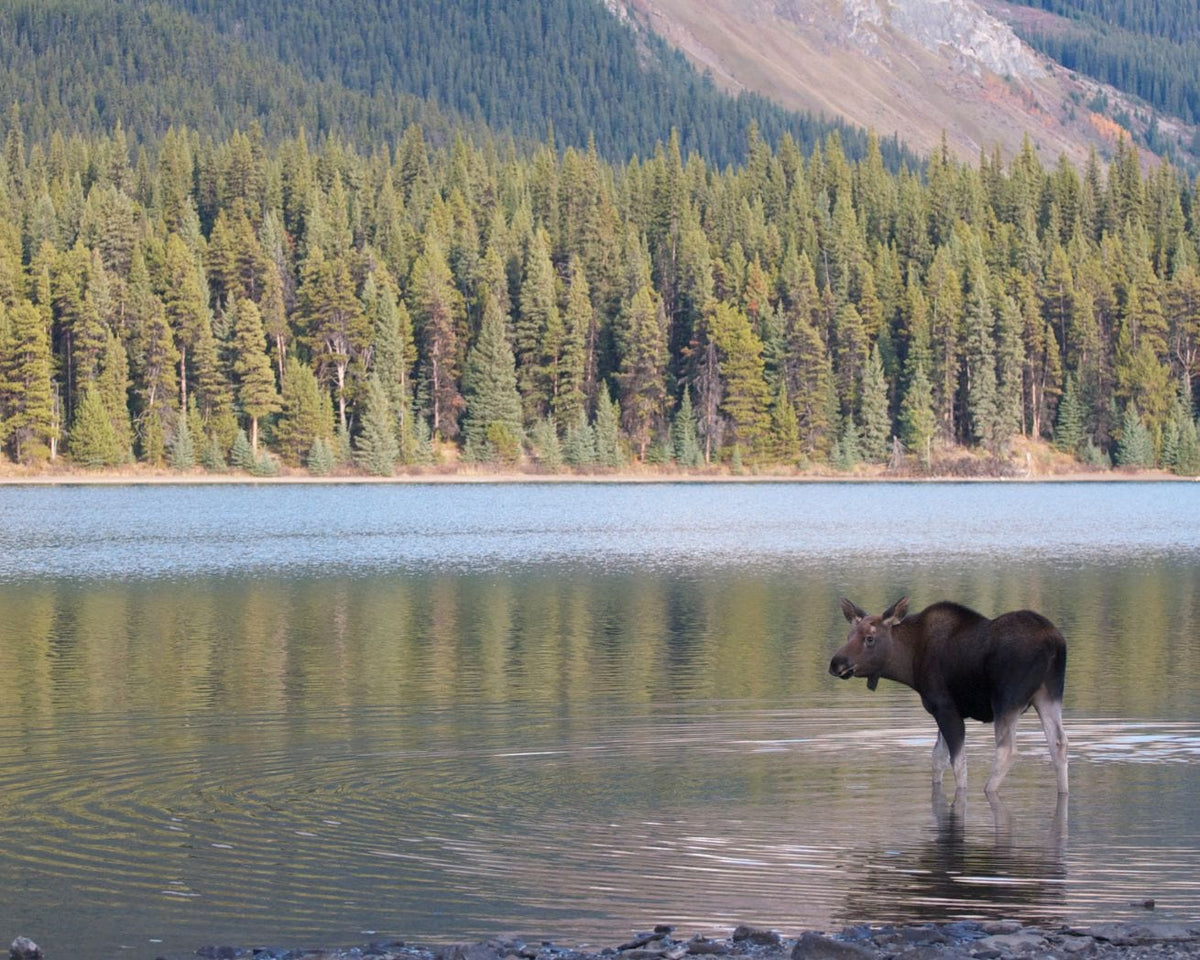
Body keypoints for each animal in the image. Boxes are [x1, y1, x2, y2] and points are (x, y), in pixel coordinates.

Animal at [829, 597, 1068, 796]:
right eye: (848, 636)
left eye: (869, 638)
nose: (835, 664)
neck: (909, 664)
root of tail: (1054, 644)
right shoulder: (944, 711)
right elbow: (938, 758)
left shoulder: (944, 707)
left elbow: (958, 763)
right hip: (1049, 695)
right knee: (1058, 742)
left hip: (1006, 700)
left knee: (1006, 750)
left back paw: (989, 789)